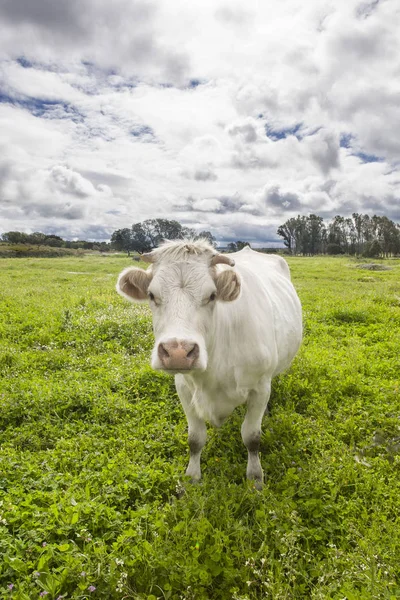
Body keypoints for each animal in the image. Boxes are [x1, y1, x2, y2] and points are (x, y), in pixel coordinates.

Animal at [117, 239, 302, 488]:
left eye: (212, 295)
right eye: (151, 295)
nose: (177, 351)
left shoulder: (260, 387)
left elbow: (251, 437)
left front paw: (255, 478)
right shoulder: (184, 388)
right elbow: (195, 438)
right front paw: (192, 476)